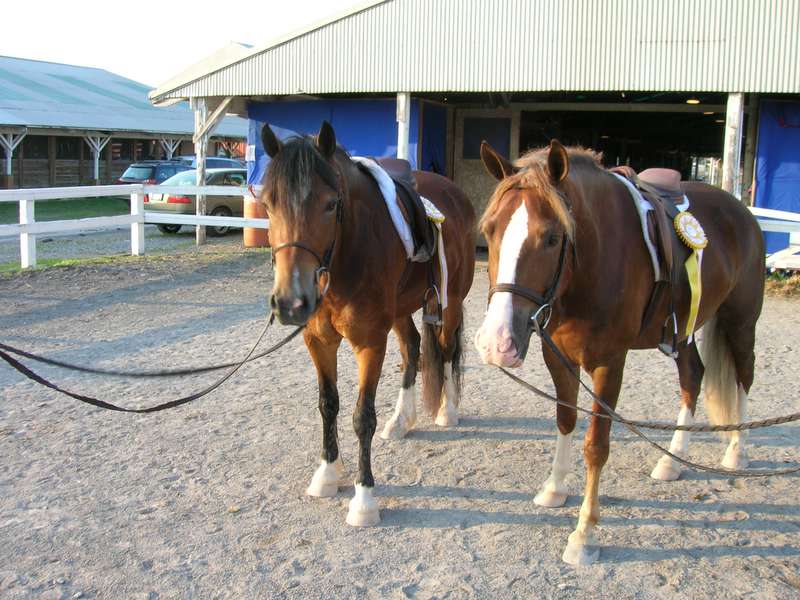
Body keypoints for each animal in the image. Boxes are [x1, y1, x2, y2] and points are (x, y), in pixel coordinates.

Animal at [260, 121, 476, 526]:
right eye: (267, 203)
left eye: (331, 204)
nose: (291, 304)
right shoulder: (319, 341)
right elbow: (328, 404)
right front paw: (327, 473)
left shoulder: (370, 343)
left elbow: (363, 417)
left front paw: (364, 499)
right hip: (401, 310)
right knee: (412, 349)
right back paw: (402, 420)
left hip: (451, 301)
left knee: (447, 348)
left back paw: (448, 410)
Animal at [474, 140, 764, 565]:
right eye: (489, 230)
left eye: (552, 238)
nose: (497, 344)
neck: (592, 265)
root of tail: (742, 211)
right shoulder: (557, 356)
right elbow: (565, 421)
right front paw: (555, 488)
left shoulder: (609, 363)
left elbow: (596, 446)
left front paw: (584, 534)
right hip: (684, 330)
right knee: (693, 377)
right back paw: (671, 459)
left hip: (740, 322)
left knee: (744, 377)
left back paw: (736, 453)